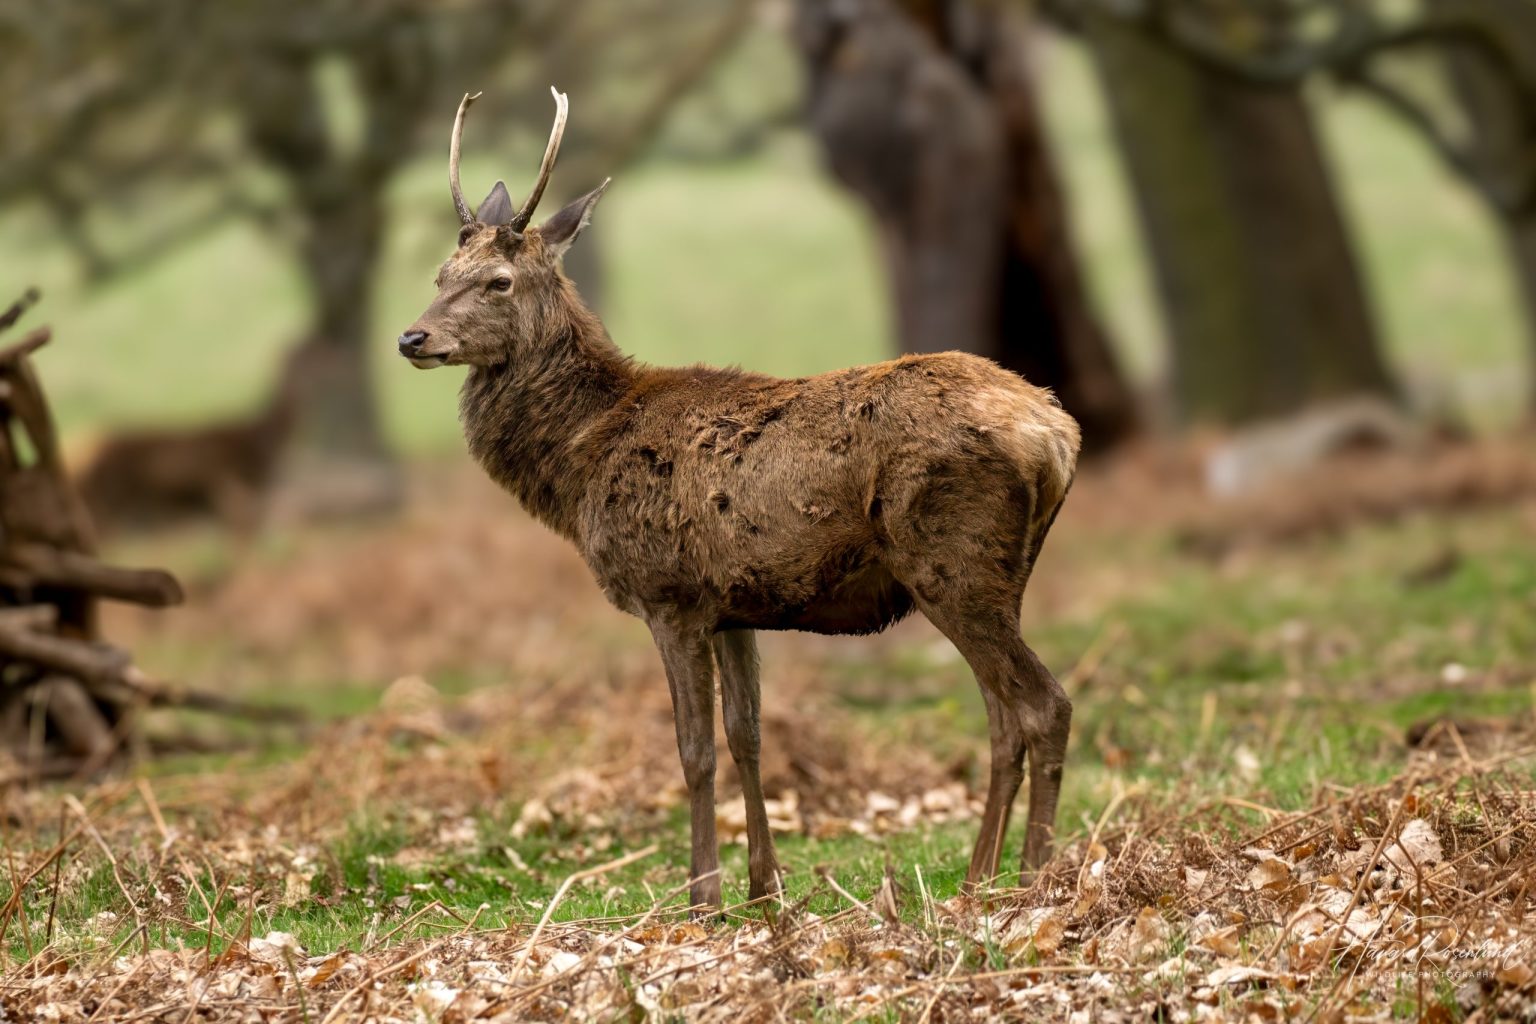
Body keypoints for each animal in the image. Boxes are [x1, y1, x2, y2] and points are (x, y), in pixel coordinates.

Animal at [399, 88, 1082, 913]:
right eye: (441, 272)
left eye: (498, 280)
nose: (412, 337)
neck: (581, 459)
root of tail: (1057, 432)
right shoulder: (735, 604)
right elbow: (747, 735)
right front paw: (764, 888)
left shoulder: (670, 595)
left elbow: (693, 749)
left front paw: (702, 897)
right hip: (998, 574)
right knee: (1003, 716)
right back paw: (983, 875)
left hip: (952, 561)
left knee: (1043, 704)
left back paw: (1029, 877)